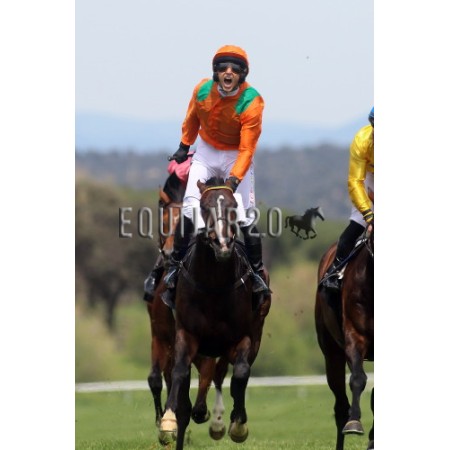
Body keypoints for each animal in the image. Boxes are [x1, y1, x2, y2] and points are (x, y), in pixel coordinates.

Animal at [146, 172, 228, 432]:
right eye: (163, 221)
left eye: (184, 223)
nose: (170, 252)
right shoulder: (160, 334)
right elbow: (157, 378)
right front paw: (162, 418)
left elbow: (203, 374)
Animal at [158, 177, 271, 449]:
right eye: (204, 207)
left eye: (233, 206)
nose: (222, 244)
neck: (214, 283)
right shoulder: (186, 334)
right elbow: (179, 372)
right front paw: (168, 421)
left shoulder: (242, 338)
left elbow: (240, 373)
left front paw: (238, 424)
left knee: (229, 375)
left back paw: (222, 421)